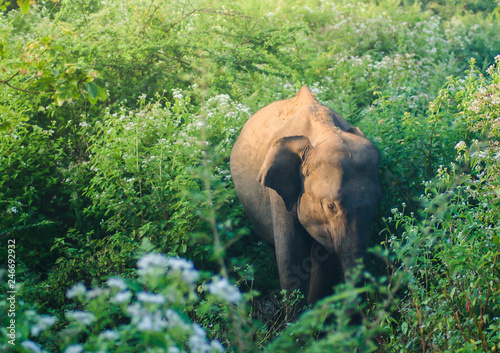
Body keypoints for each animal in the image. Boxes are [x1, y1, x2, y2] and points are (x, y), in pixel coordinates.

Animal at [230, 85, 382, 302]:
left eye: (377, 203)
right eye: (331, 206)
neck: (325, 131)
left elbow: (324, 261)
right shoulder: (280, 195)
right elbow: (291, 255)